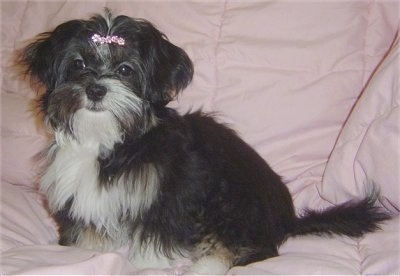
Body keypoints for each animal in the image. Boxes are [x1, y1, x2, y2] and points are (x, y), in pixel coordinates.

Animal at [19, 9, 390, 274]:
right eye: (78, 64)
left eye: (125, 69)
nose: (95, 89)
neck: (111, 142)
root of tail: (288, 221)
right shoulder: (80, 192)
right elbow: (88, 228)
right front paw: (85, 252)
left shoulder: (171, 190)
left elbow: (158, 229)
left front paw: (148, 263)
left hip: (236, 202)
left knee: (248, 247)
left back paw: (205, 265)